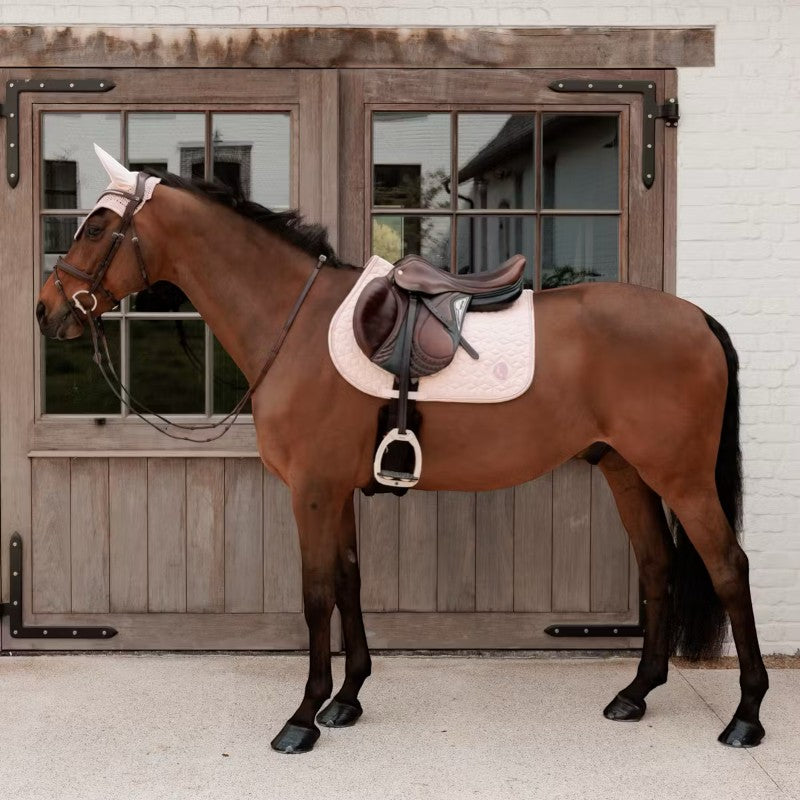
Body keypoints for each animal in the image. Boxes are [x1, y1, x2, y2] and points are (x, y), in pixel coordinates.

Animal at [36, 150, 769, 754]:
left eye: (96, 227)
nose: (47, 311)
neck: (296, 324)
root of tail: (696, 318)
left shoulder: (312, 491)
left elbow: (317, 596)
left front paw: (301, 719)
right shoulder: (335, 491)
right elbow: (350, 582)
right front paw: (346, 701)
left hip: (682, 478)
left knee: (728, 567)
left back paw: (746, 717)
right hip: (627, 471)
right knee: (657, 566)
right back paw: (635, 694)